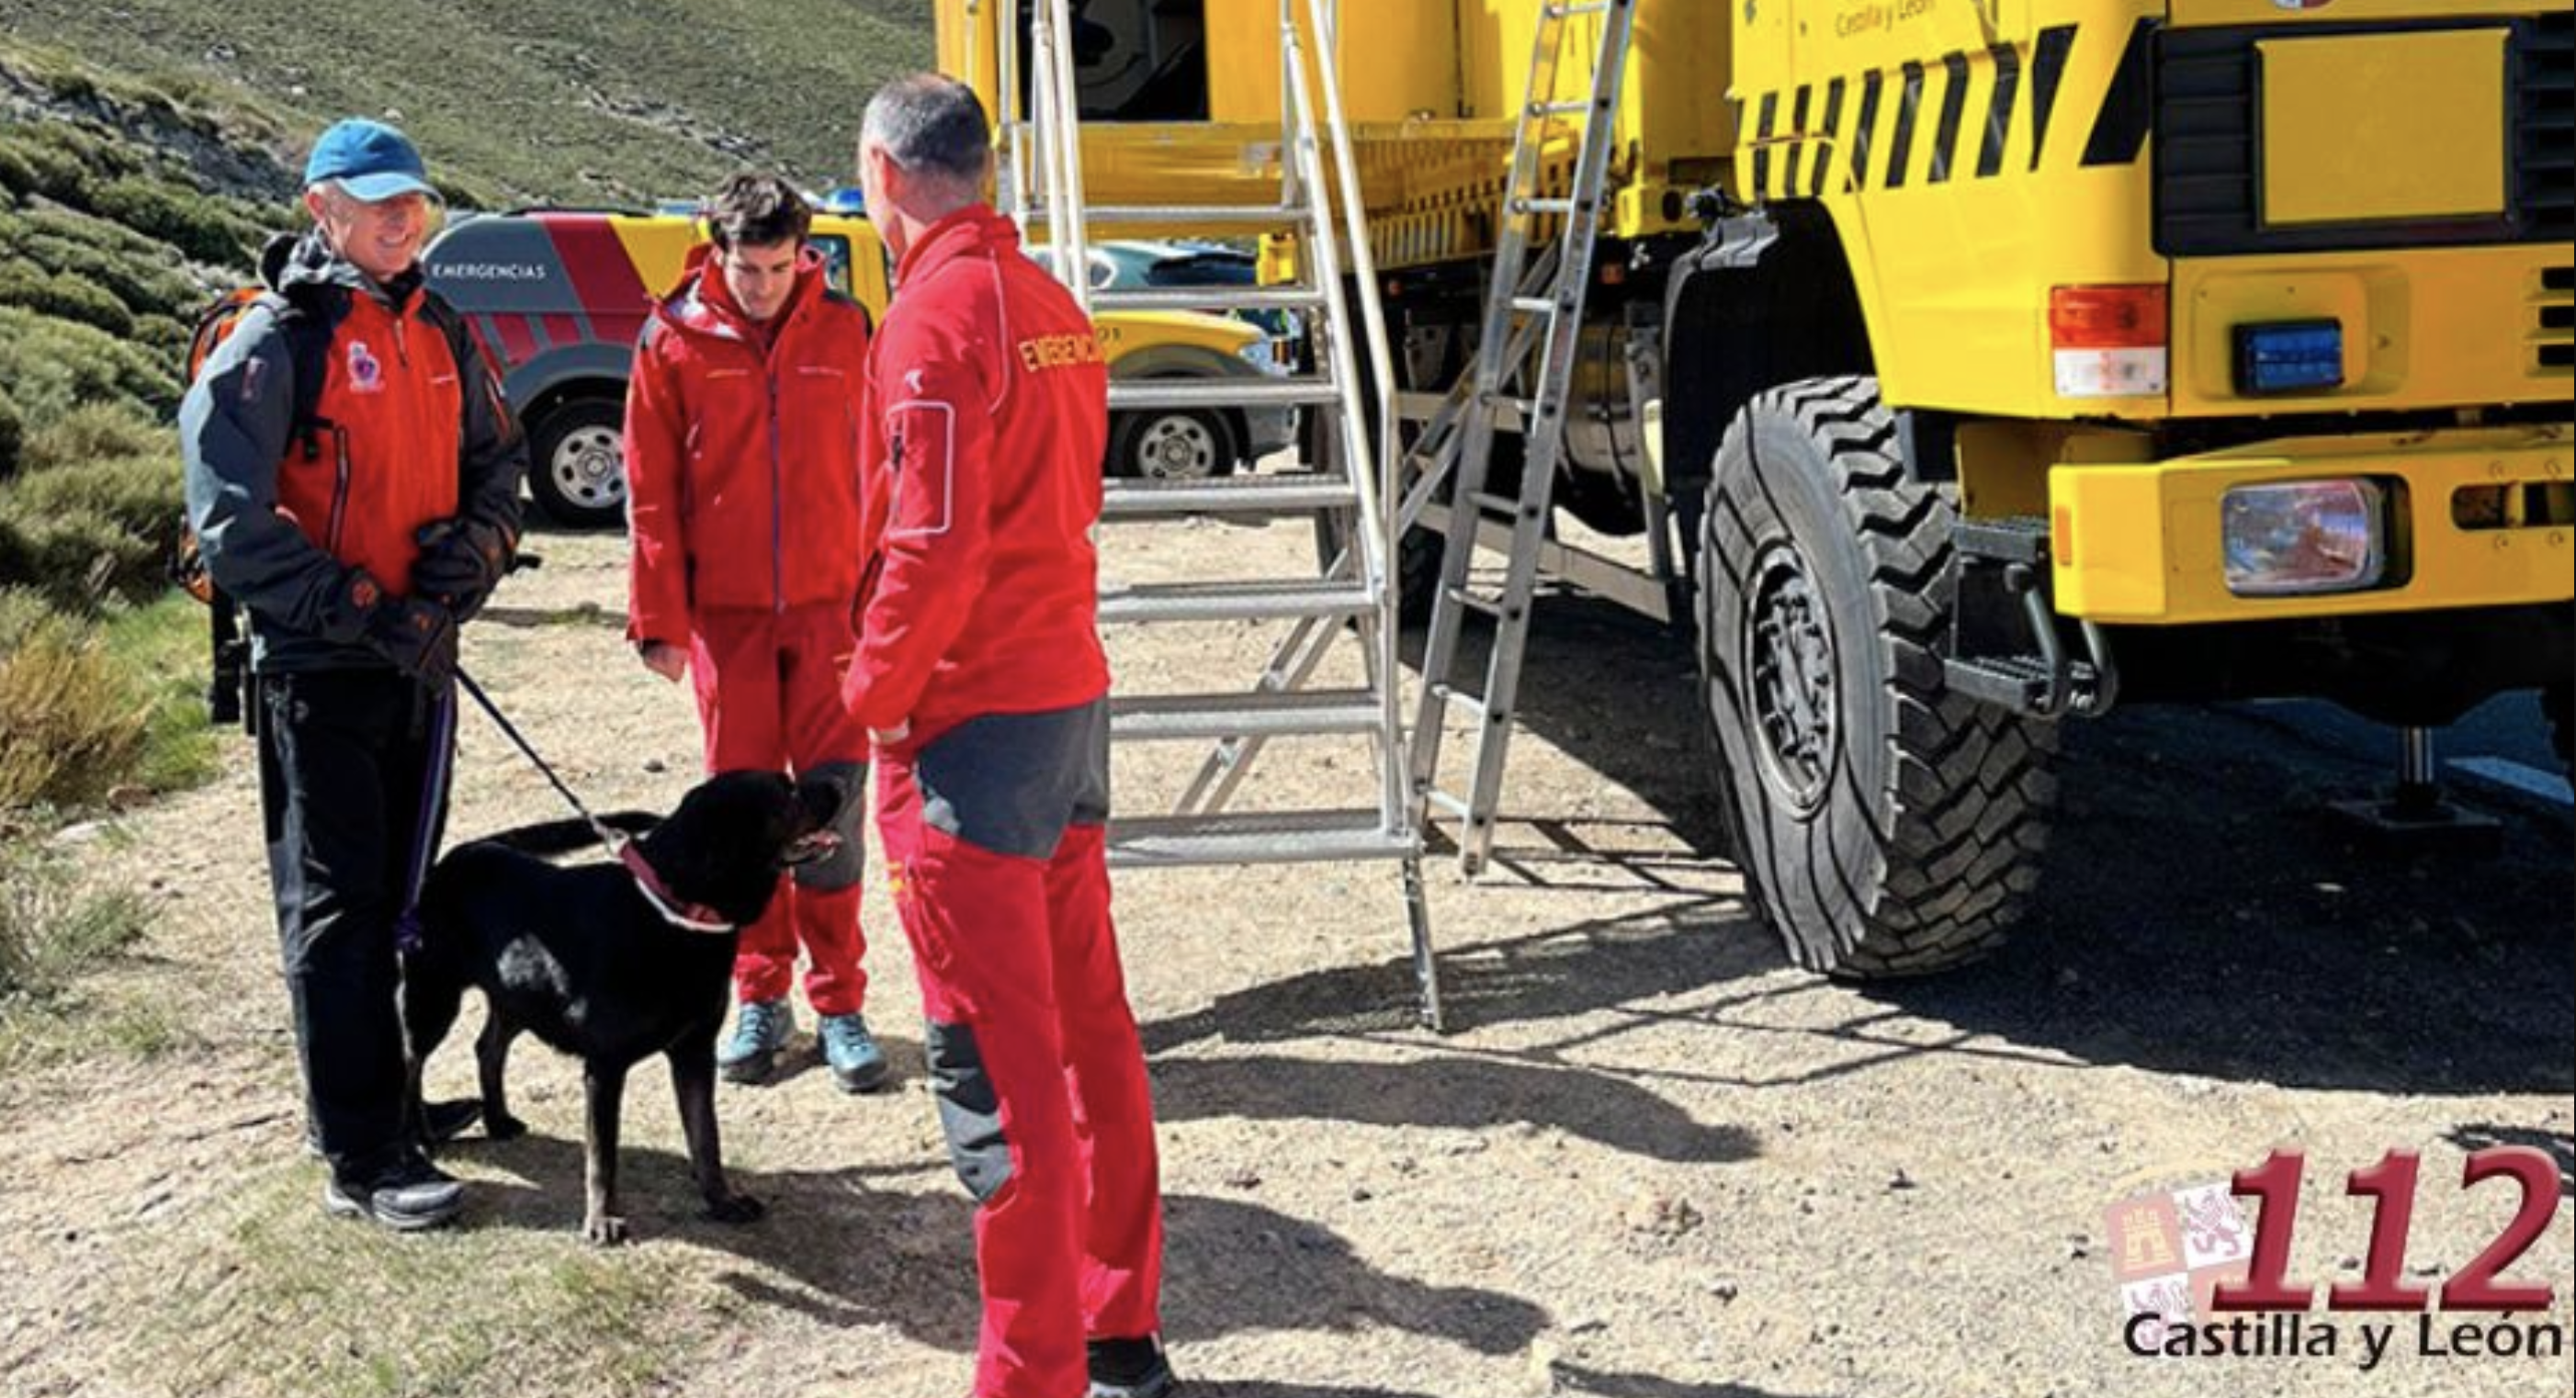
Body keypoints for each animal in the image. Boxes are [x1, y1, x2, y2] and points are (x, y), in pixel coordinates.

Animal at [396, 772, 850, 1241]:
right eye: (785, 792)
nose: (839, 783)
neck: (674, 912)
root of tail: (463, 852)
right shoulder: (605, 1068)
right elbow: (603, 1156)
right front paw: (602, 1220)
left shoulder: (694, 1051)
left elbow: (706, 1137)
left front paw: (722, 1200)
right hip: (431, 998)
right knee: (411, 1062)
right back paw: (420, 1137)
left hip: (517, 996)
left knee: (488, 1047)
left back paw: (499, 1120)